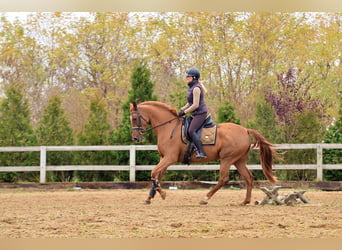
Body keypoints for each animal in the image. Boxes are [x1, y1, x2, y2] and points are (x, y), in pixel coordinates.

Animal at [130, 101, 276, 205]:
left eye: (134, 118)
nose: (135, 138)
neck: (168, 127)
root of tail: (245, 130)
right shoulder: (163, 158)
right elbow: (157, 176)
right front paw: (150, 197)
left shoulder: (169, 158)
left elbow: (153, 173)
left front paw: (162, 193)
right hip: (238, 160)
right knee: (248, 178)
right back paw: (245, 201)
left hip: (227, 159)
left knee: (223, 179)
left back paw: (205, 198)